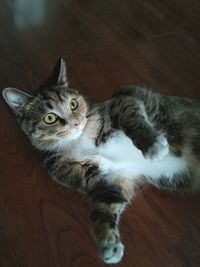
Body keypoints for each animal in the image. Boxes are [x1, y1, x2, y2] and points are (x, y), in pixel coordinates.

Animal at [2, 57, 200, 264]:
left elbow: (131, 117)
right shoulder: (106, 179)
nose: (75, 123)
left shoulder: (124, 98)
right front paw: (108, 245)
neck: (79, 142)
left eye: (73, 104)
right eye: (50, 118)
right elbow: (103, 209)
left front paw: (153, 145)